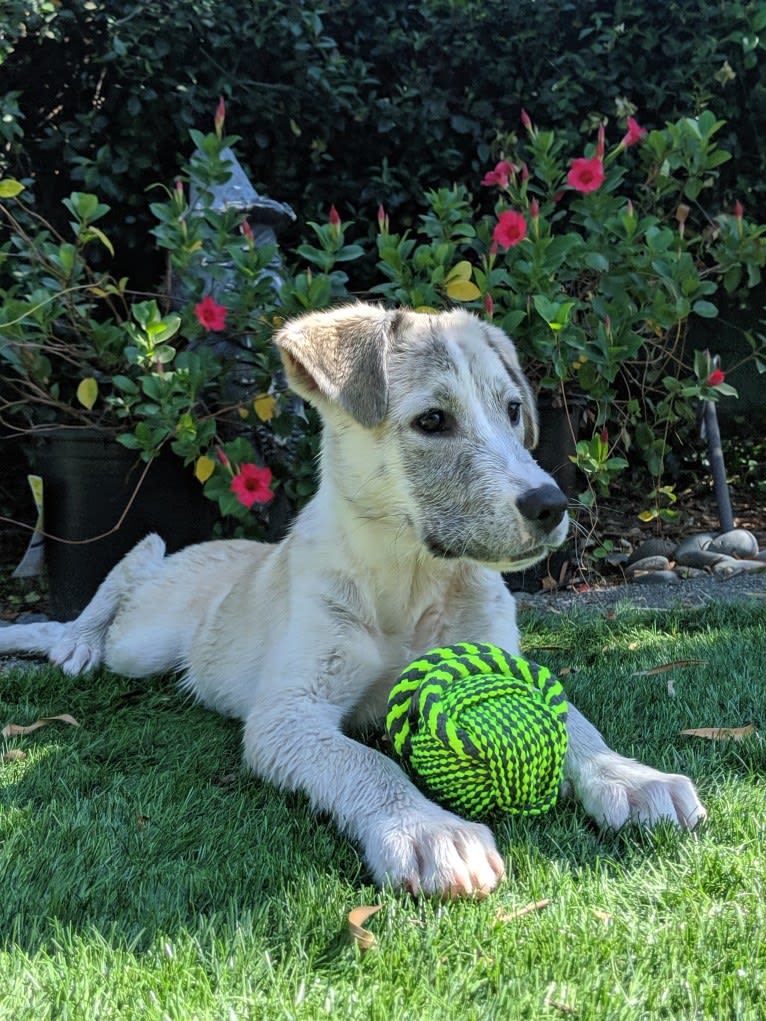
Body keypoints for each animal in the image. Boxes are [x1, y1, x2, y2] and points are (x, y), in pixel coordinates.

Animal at [1, 306, 706, 898]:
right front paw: (428, 830)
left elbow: (576, 722)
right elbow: (364, 762)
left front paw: (631, 778)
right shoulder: (288, 714)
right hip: (145, 640)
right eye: (432, 421)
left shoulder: (505, 659)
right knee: (133, 567)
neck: (410, 578)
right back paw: (69, 641)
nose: (552, 506)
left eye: (512, 410)